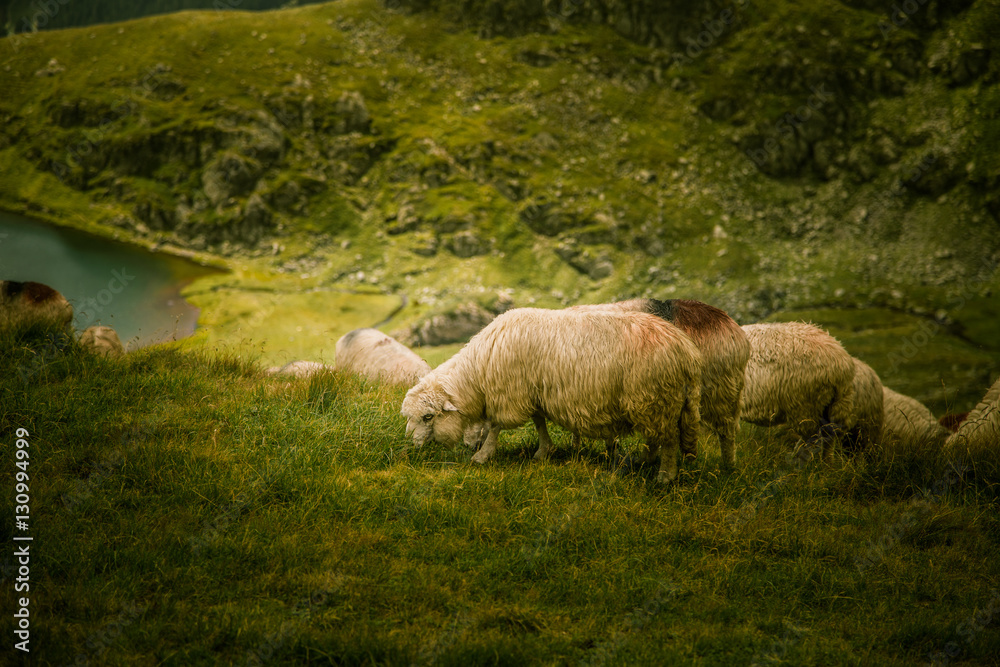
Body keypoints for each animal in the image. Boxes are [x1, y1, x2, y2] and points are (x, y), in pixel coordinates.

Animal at [400, 307, 702, 483]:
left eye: (428, 417)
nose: (413, 446)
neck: (480, 369)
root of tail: (686, 352)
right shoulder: (532, 391)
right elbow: (539, 422)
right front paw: (543, 451)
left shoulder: (509, 391)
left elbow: (496, 426)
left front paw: (482, 456)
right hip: (653, 401)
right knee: (656, 437)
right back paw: (645, 462)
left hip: (655, 397)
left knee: (668, 439)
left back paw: (665, 475)